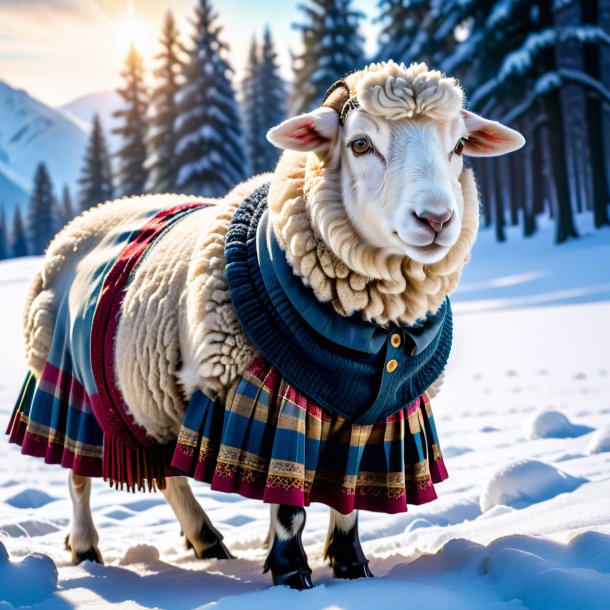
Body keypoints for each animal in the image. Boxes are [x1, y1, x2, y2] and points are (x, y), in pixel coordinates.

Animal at [5, 59, 524, 588]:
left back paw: (206, 540)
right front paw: (292, 572)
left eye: (458, 146)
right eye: (360, 144)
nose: (436, 219)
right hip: (71, 389)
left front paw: (352, 565)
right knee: (78, 476)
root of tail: (86, 220)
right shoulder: (273, 406)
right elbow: (289, 504)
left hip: (147, 398)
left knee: (169, 476)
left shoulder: (376, 419)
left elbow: (349, 496)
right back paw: (87, 547)